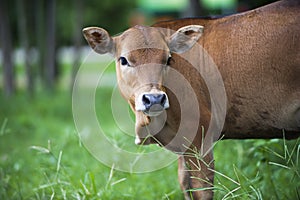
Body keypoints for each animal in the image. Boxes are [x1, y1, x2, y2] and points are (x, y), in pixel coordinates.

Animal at [82, 0, 300, 198]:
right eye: (124, 60)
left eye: (168, 59)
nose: (154, 98)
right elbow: (184, 183)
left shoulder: (200, 137)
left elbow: (202, 188)